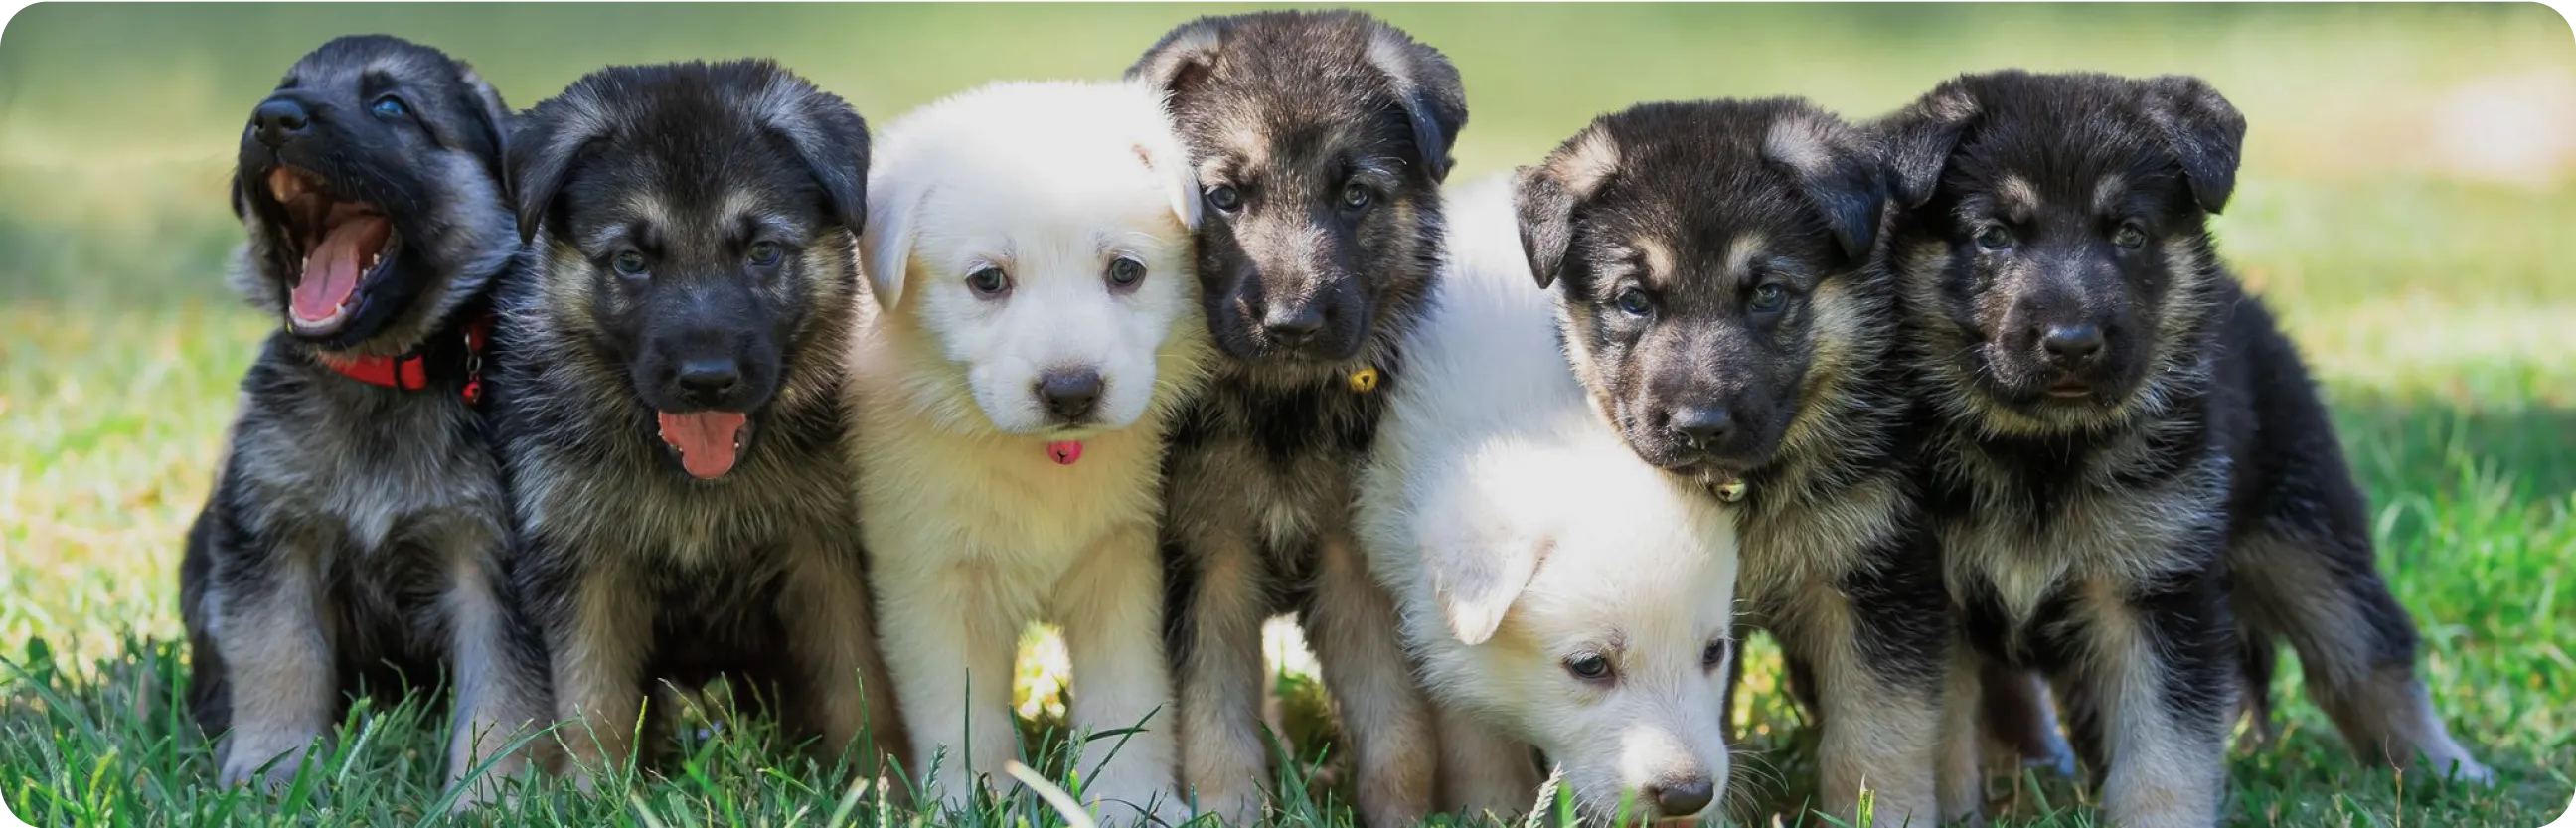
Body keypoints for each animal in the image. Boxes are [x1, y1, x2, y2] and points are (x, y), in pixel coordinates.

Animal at [845, 79, 1206, 820]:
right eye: (988, 280)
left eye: (1125, 271)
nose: (1071, 390)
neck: (1045, 460)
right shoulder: (930, 579)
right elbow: (960, 715)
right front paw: (973, 804)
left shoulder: (1125, 562)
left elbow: (1129, 699)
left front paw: (1133, 803)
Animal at [1128, 9, 1473, 820]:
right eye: (1224, 197)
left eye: (1355, 196)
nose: (1291, 324)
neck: (1280, 403)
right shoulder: (1209, 566)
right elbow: (1215, 725)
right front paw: (1232, 811)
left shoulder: (1356, 571)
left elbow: (1399, 730)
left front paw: (1400, 817)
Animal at [1504, 97, 1947, 820]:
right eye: (1634, 300)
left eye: (1766, 294)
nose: (1699, 426)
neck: (1746, 492)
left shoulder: (1878, 578)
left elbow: (1877, 738)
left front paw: (1882, 813)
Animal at [1874, 69, 2494, 820]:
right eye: (1992, 236)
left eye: (2129, 233)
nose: (2073, 344)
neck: (2041, 454)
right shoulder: (1931, 598)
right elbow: (1938, 743)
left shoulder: (2157, 588)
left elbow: (2164, 748)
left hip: (2305, 527)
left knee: (2365, 651)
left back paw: (2443, 768)